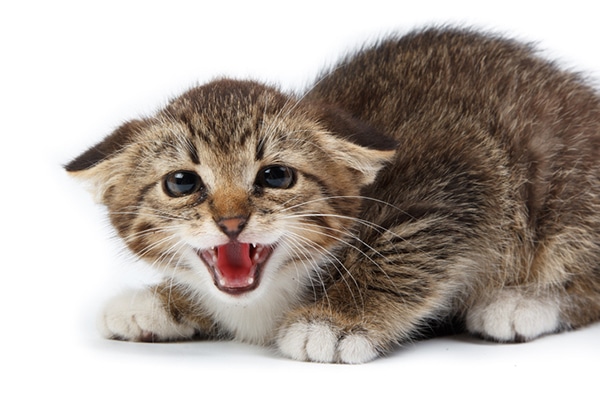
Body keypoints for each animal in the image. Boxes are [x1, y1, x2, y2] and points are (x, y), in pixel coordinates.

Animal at [65, 28, 600, 362]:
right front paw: (160, 302)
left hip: (564, 188)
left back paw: (522, 304)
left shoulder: (461, 169)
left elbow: (412, 243)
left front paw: (336, 320)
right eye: (182, 183)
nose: (232, 222)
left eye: (276, 176)